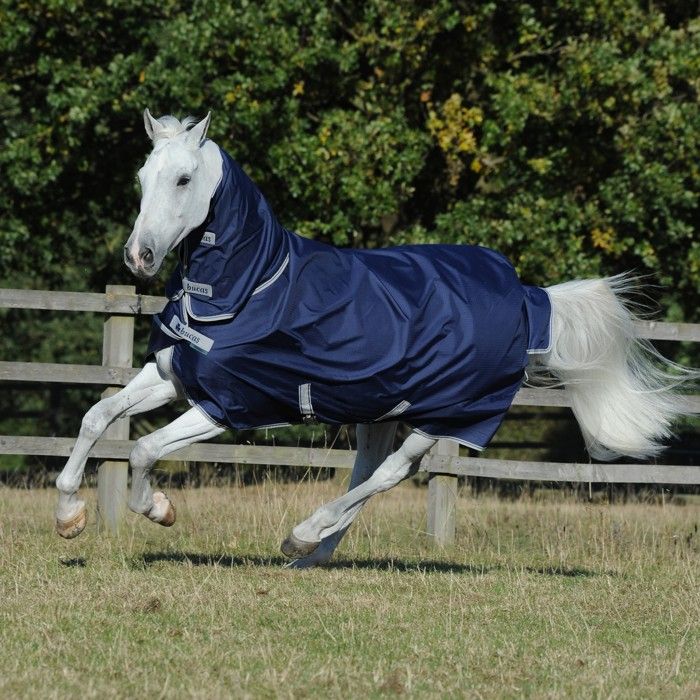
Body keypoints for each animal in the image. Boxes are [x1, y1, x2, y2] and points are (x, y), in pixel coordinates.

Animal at [55, 110, 694, 566]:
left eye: (184, 178)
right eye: (142, 178)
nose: (139, 257)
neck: (251, 284)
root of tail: (527, 296)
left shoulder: (228, 406)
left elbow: (143, 449)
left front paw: (158, 510)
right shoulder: (174, 376)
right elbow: (96, 416)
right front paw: (69, 516)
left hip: (446, 414)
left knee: (390, 475)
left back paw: (302, 535)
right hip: (380, 409)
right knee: (368, 474)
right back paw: (309, 555)